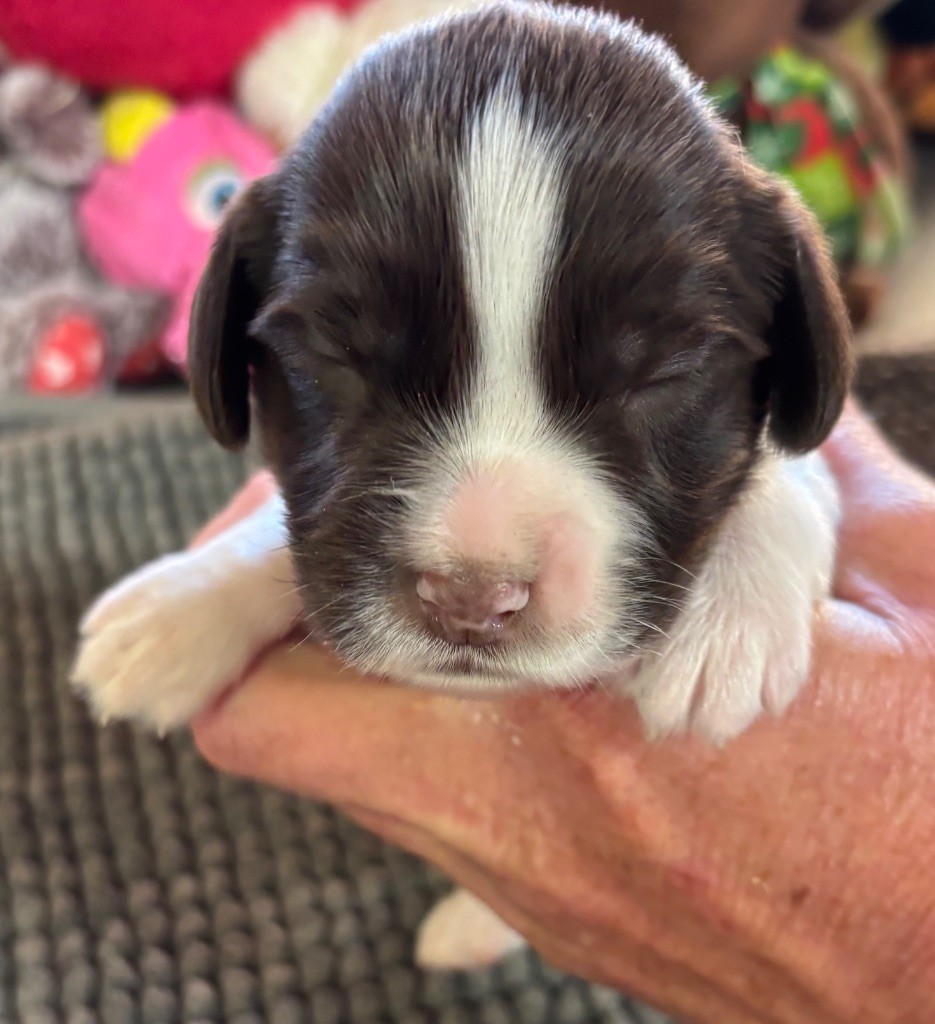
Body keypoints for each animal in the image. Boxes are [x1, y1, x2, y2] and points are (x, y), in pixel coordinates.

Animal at [71, 1, 851, 970]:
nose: (472, 600)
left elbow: (790, 466)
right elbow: (297, 542)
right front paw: (180, 608)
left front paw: (727, 621)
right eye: (334, 353)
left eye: (662, 374)